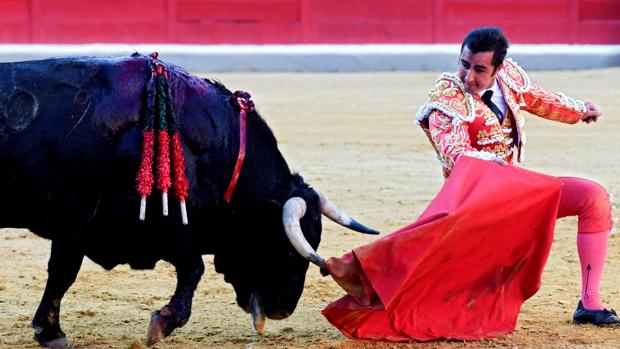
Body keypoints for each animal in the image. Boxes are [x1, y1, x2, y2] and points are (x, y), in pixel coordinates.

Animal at [1, 53, 378, 346]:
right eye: (286, 249)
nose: (283, 309)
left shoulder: (76, 226)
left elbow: (61, 273)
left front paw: (50, 332)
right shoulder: (153, 219)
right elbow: (194, 266)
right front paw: (162, 323)